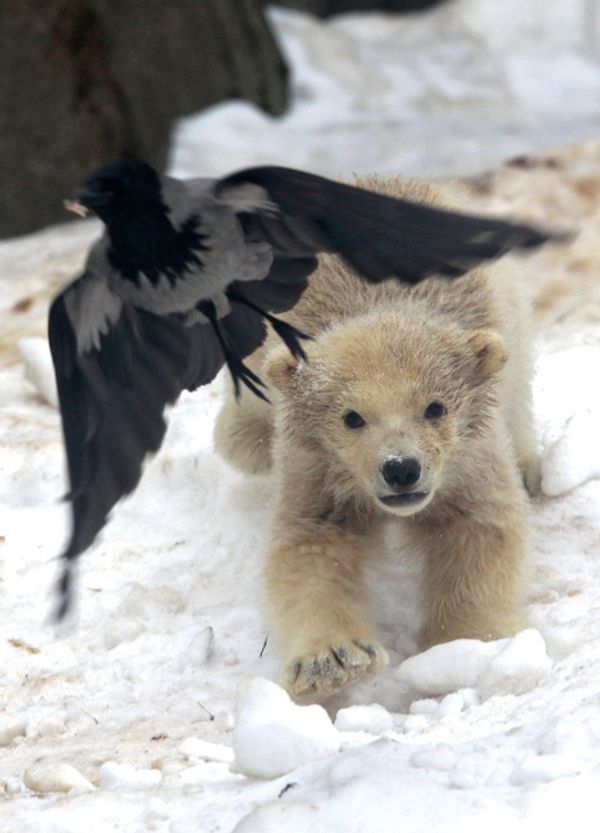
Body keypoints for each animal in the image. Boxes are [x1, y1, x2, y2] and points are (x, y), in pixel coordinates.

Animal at [214, 175, 539, 702]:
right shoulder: (319, 466)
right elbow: (309, 546)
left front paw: (469, 647)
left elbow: (478, 529)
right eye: (351, 417)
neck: (377, 305)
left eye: (435, 407)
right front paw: (332, 661)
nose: (401, 468)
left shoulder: (468, 456)